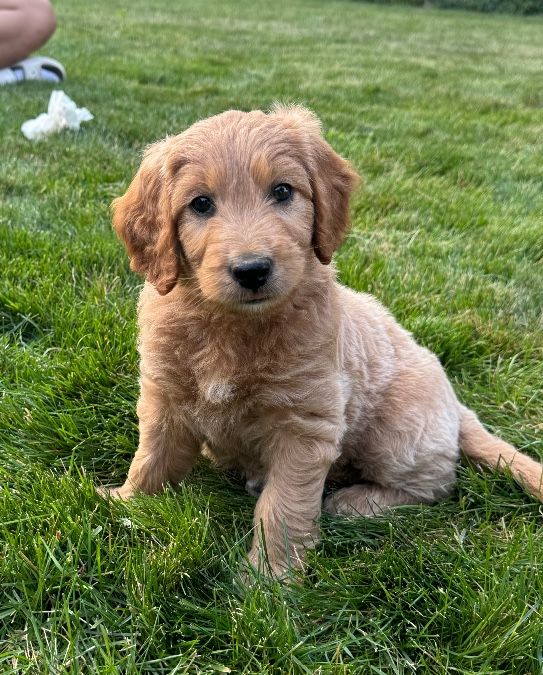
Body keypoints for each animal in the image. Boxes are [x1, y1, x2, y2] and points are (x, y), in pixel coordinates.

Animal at [103, 104, 543, 576]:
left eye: (282, 191)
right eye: (200, 203)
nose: (252, 270)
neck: (231, 327)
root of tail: (458, 406)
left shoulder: (305, 425)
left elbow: (282, 506)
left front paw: (270, 577)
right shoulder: (164, 398)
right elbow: (152, 457)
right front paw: (124, 502)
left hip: (395, 434)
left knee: (438, 482)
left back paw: (356, 502)